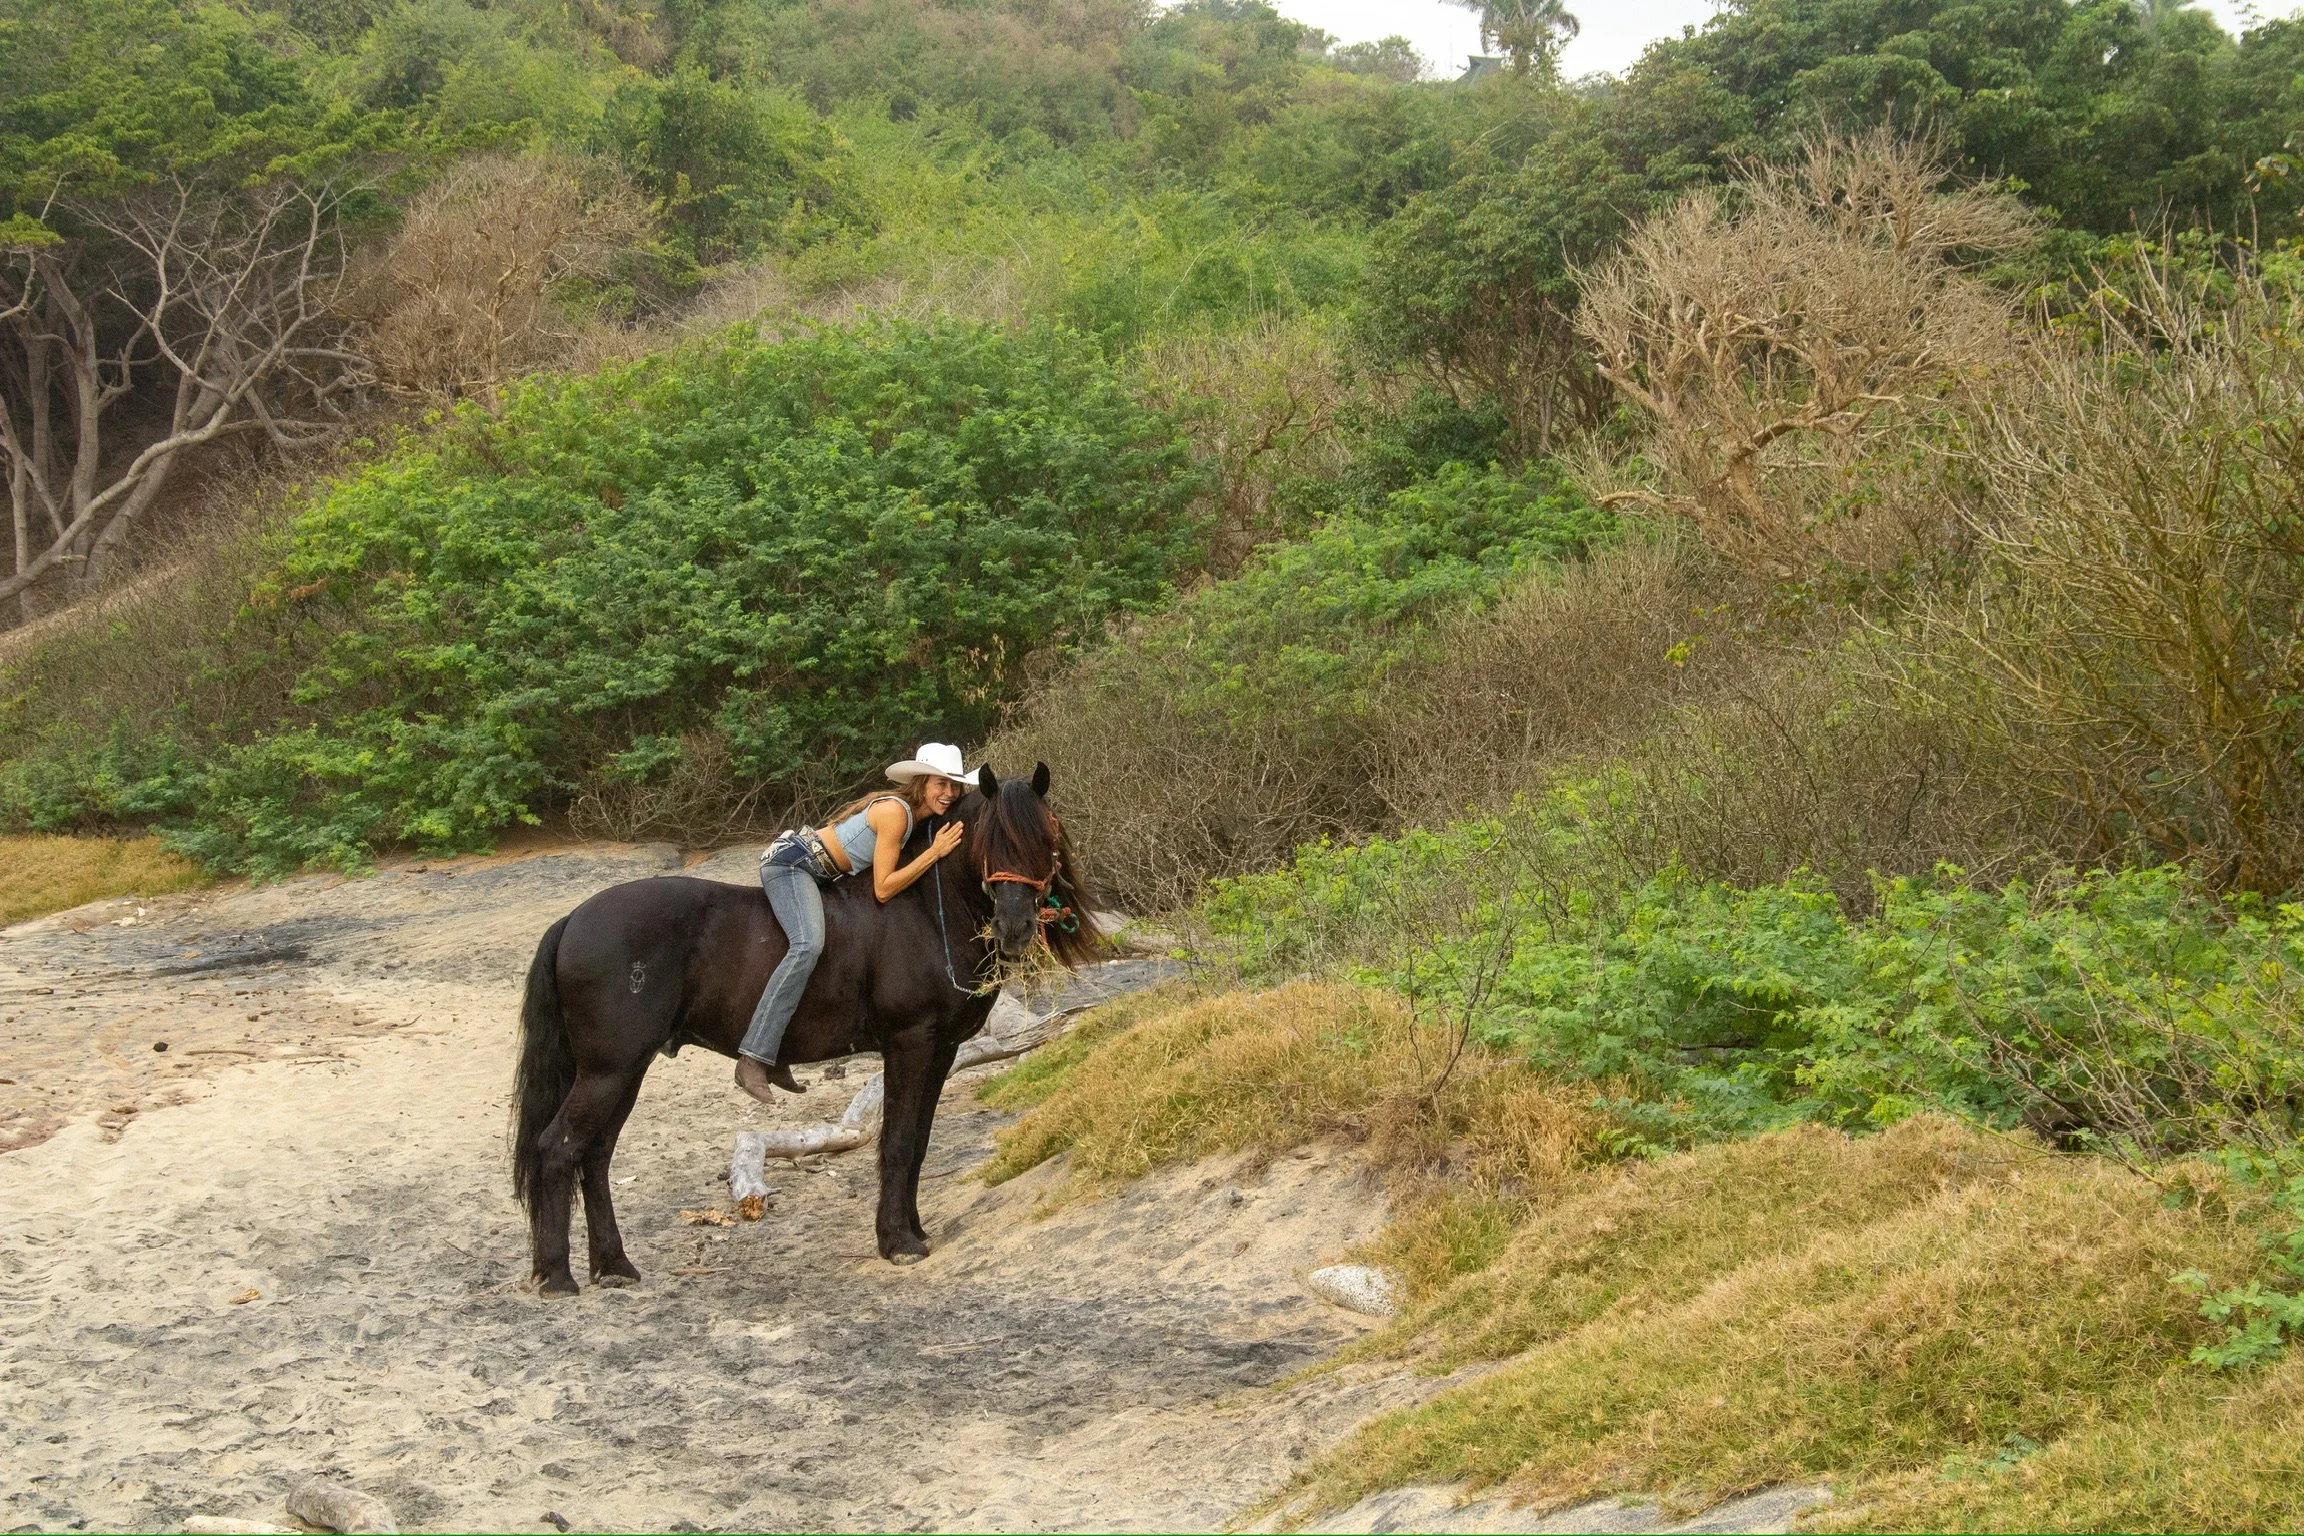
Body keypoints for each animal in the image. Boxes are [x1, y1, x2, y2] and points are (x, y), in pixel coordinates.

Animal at [508, 761, 1100, 1291]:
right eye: (990, 837)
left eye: (1044, 836)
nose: (1015, 927)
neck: (924, 910)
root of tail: (574, 920)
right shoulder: (909, 1045)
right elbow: (898, 1142)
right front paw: (897, 1242)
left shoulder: (942, 1051)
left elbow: (919, 1142)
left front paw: (913, 1230)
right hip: (608, 1070)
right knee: (558, 1148)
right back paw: (557, 1276)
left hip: (623, 1071)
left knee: (595, 1156)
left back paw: (613, 1265)